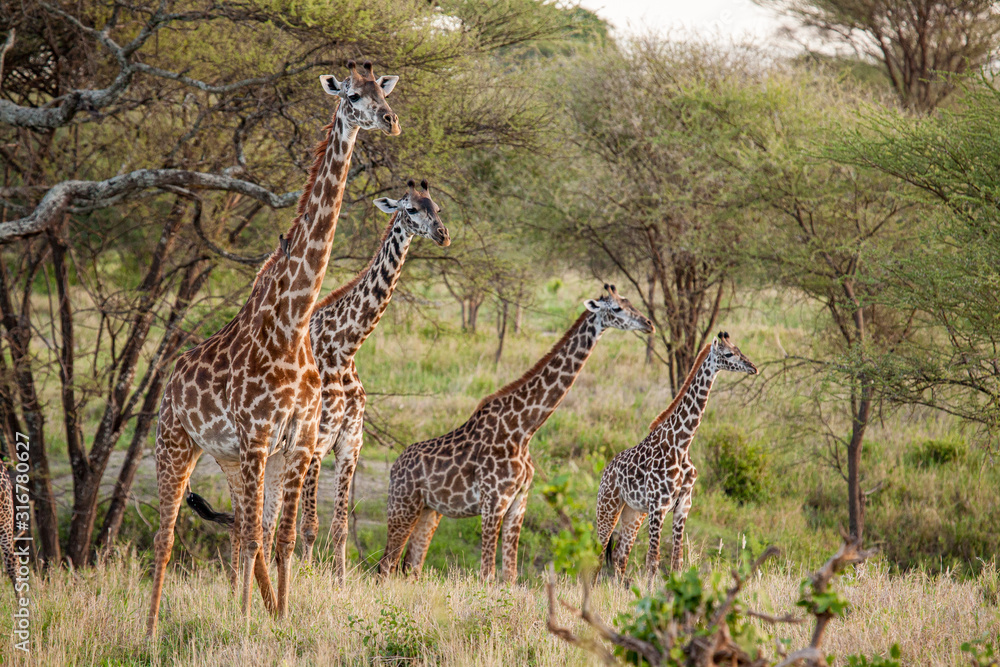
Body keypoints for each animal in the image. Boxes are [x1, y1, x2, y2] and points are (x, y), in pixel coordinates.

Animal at [145, 60, 401, 635]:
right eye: (353, 96)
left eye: (383, 93)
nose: (391, 121)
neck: (293, 321)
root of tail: (168, 383)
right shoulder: (261, 436)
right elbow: (260, 538)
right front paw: (247, 624)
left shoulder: (298, 440)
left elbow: (281, 539)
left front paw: (281, 618)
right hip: (176, 445)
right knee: (167, 537)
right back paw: (147, 632)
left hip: (229, 458)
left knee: (244, 526)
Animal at [186, 179, 449, 583]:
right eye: (411, 210)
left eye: (437, 207)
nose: (443, 235)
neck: (345, 348)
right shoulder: (316, 444)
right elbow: (309, 527)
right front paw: (306, 580)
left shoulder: (350, 444)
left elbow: (339, 527)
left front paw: (338, 583)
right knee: (249, 521)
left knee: (260, 519)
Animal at [378, 285, 654, 583]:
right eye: (616, 308)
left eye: (631, 302)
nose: (648, 324)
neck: (523, 430)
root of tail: (394, 468)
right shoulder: (493, 502)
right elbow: (487, 574)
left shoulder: (518, 502)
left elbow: (509, 575)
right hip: (403, 506)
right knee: (386, 565)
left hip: (429, 511)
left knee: (411, 566)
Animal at [595, 331, 757, 581]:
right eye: (729, 354)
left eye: (740, 350)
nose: (753, 367)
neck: (681, 445)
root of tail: (605, 473)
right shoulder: (658, 506)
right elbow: (653, 561)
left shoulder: (683, 507)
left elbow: (677, 562)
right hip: (608, 506)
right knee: (597, 555)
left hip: (633, 513)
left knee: (621, 555)